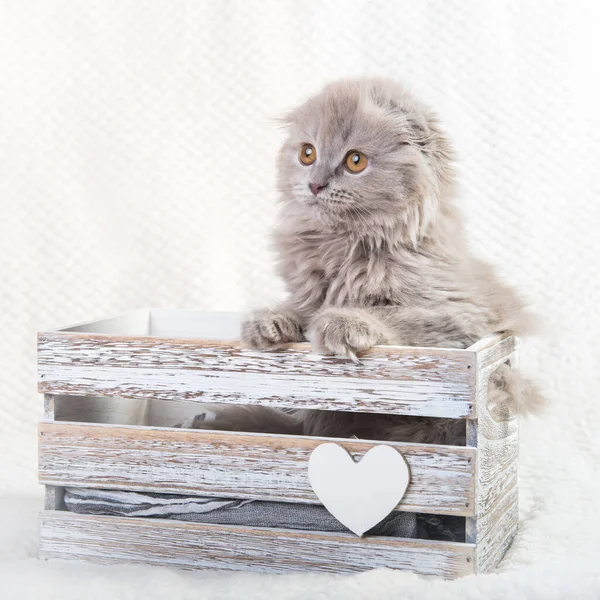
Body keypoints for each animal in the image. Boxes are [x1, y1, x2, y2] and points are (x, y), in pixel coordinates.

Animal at [192, 78, 544, 446]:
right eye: (307, 154)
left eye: (355, 161)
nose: (315, 184)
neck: (345, 247)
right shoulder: (310, 295)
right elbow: (300, 309)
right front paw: (268, 323)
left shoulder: (463, 316)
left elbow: (392, 315)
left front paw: (342, 324)